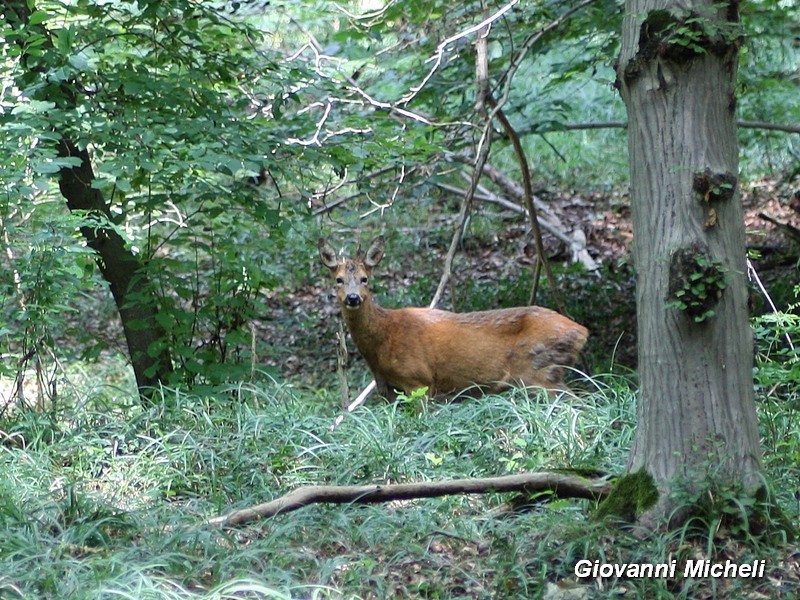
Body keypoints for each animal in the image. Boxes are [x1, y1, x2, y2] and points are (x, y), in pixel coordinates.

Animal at [318, 237, 588, 400]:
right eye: (338, 280)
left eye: (365, 279)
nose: (353, 298)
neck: (382, 341)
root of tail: (581, 331)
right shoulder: (388, 389)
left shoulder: (419, 380)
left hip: (540, 370)